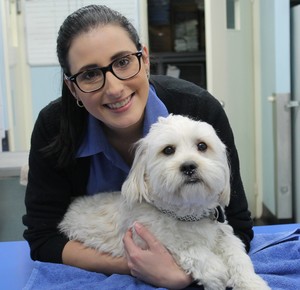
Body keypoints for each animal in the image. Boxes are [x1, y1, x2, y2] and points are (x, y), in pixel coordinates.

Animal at [58, 114, 270, 288]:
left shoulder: (222, 233)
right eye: (168, 150)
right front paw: (216, 272)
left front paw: (251, 282)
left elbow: (237, 253)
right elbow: (188, 247)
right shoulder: (148, 239)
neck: (186, 214)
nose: (188, 166)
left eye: (202, 146)